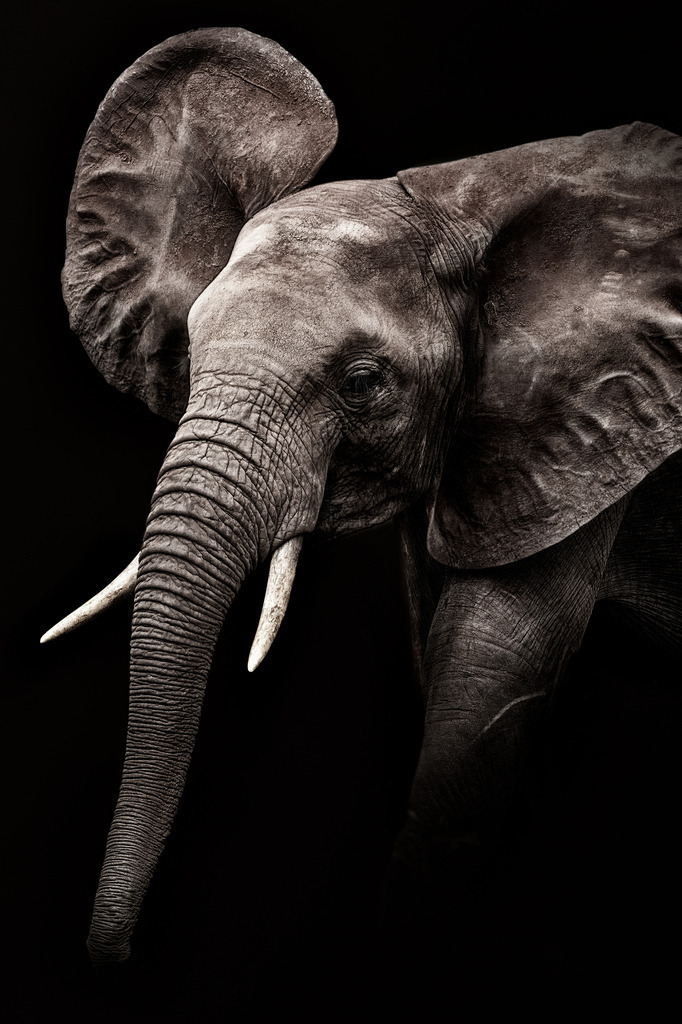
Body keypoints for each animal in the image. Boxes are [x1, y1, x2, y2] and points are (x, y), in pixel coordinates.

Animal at [41, 27, 682, 966]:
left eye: (362, 381)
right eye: (190, 348)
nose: (113, 953)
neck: (452, 197)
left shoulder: (589, 419)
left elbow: (491, 669)